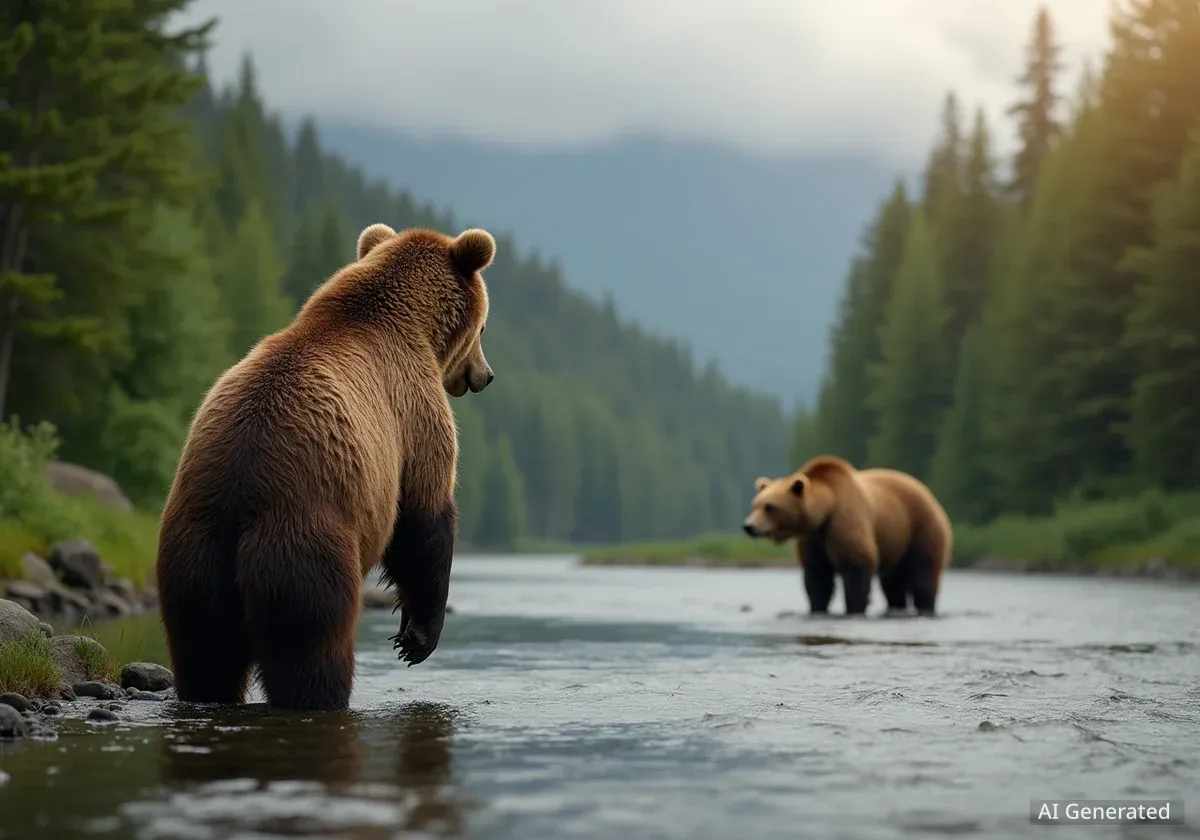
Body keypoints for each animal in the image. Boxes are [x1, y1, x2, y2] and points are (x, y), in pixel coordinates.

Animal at [155, 222, 497, 711]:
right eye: (483, 325)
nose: (485, 375)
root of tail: (237, 510)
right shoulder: (412, 414)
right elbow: (423, 517)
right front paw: (417, 637)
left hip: (191, 560)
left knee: (206, 654)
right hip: (305, 548)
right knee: (312, 649)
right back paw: (324, 696)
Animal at [742, 455, 951, 616]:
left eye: (770, 507)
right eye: (755, 504)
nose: (749, 526)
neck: (825, 513)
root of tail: (929, 494)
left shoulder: (844, 522)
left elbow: (856, 567)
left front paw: (854, 608)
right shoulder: (813, 540)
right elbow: (818, 577)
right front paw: (817, 608)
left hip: (920, 528)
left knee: (923, 576)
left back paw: (925, 607)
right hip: (895, 541)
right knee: (893, 583)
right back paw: (896, 607)